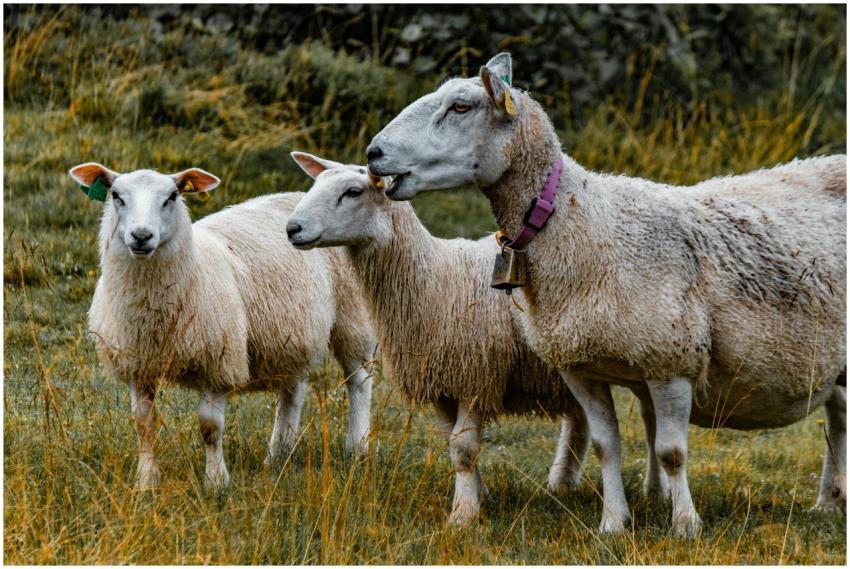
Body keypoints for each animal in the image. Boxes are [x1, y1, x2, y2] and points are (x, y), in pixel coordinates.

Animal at [68, 162, 377, 490]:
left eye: (172, 196)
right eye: (116, 195)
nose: (141, 235)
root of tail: (299, 195)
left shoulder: (217, 360)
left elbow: (210, 427)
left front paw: (216, 481)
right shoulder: (138, 365)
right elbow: (143, 424)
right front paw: (147, 481)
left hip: (354, 315)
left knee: (359, 380)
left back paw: (357, 447)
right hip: (291, 333)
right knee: (292, 391)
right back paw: (277, 455)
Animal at [284, 151, 663, 525]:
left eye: (353, 192)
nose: (292, 228)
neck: (434, 279)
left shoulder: (475, 375)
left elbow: (462, 449)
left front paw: (463, 515)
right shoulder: (441, 380)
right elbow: (453, 442)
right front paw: (479, 495)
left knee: (648, 421)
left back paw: (653, 491)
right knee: (587, 419)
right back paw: (564, 481)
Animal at [364, 52, 846, 535]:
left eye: (461, 107)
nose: (373, 152)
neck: (582, 221)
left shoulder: (671, 359)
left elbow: (672, 453)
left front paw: (685, 525)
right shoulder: (581, 367)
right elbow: (604, 446)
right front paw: (614, 523)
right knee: (838, 419)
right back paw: (828, 503)